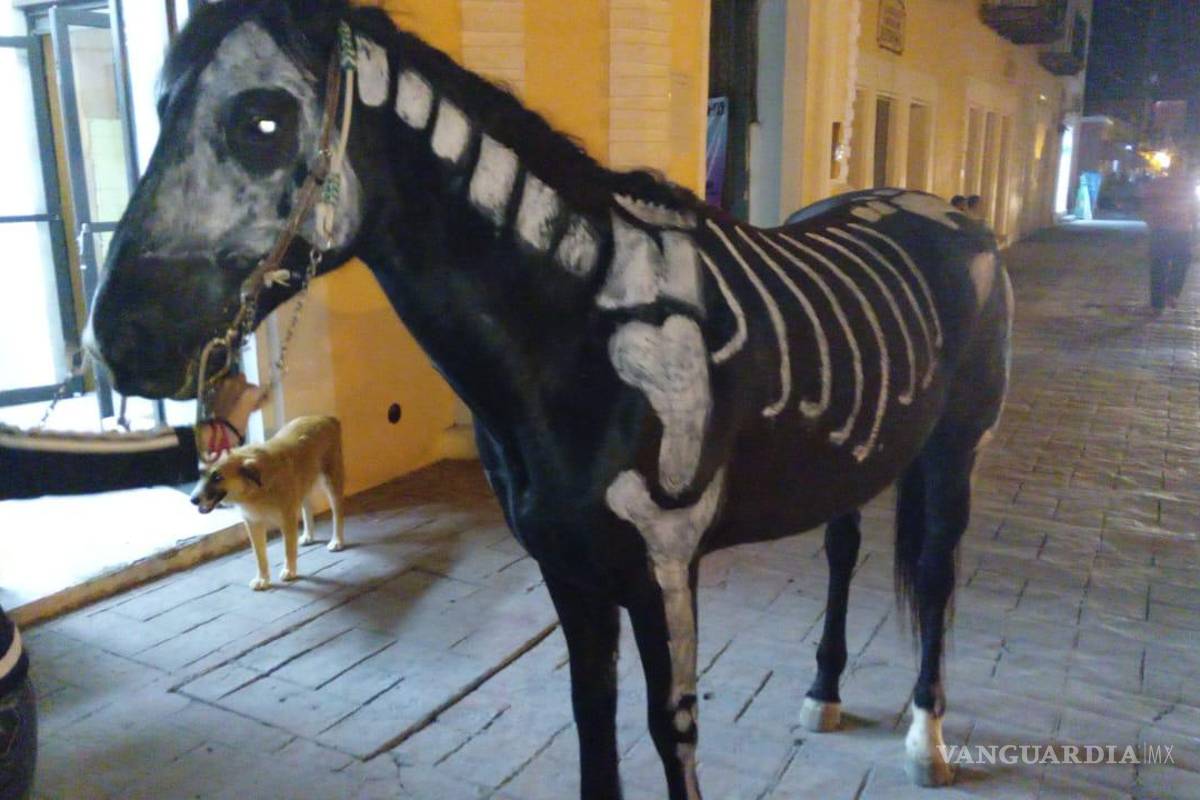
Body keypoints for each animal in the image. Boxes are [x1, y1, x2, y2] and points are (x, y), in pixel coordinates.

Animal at [84, 2, 1012, 797]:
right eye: (159, 108)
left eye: (263, 121)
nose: (119, 341)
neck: (578, 338)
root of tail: (951, 216)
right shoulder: (567, 564)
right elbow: (591, 719)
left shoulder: (665, 564)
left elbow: (670, 728)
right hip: (855, 456)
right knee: (844, 551)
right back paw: (824, 692)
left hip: (955, 449)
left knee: (935, 576)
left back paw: (926, 741)